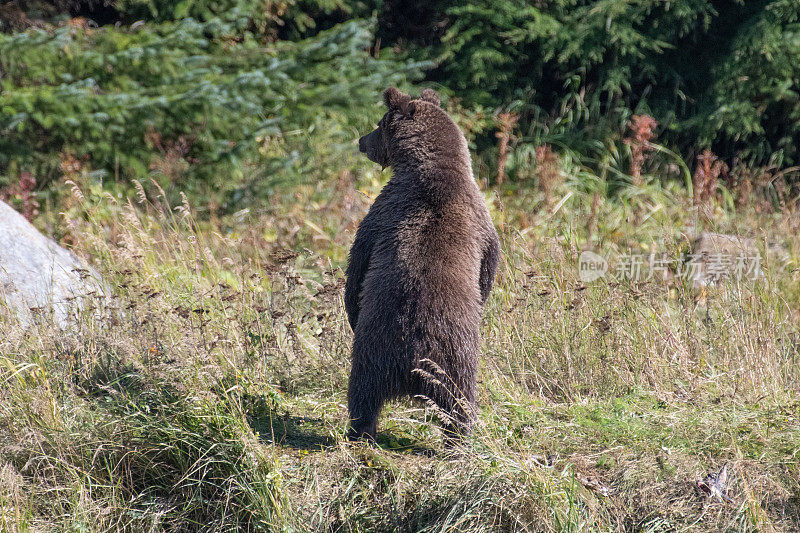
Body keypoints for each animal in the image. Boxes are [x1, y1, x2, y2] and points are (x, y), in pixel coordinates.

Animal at [346, 87, 496, 442]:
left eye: (378, 125)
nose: (361, 140)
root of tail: (412, 363)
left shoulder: (383, 212)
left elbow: (356, 266)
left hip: (388, 351)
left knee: (363, 393)